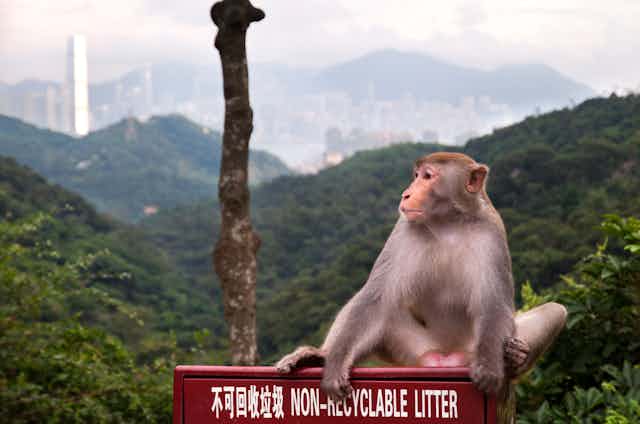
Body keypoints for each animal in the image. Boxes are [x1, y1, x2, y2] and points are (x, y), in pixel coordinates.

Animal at [276, 152, 567, 400]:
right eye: (416, 175)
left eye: (428, 176)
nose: (406, 194)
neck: (448, 224)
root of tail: (448, 356)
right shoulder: (403, 229)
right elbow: (375, 298)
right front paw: (334, 365)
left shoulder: (492, 232)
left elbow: (494, 304)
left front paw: (491, 369)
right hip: (414, 349)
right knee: (383, 309)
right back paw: (320, 356)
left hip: (471, 347)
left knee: (557, 310)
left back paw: (514, 357)